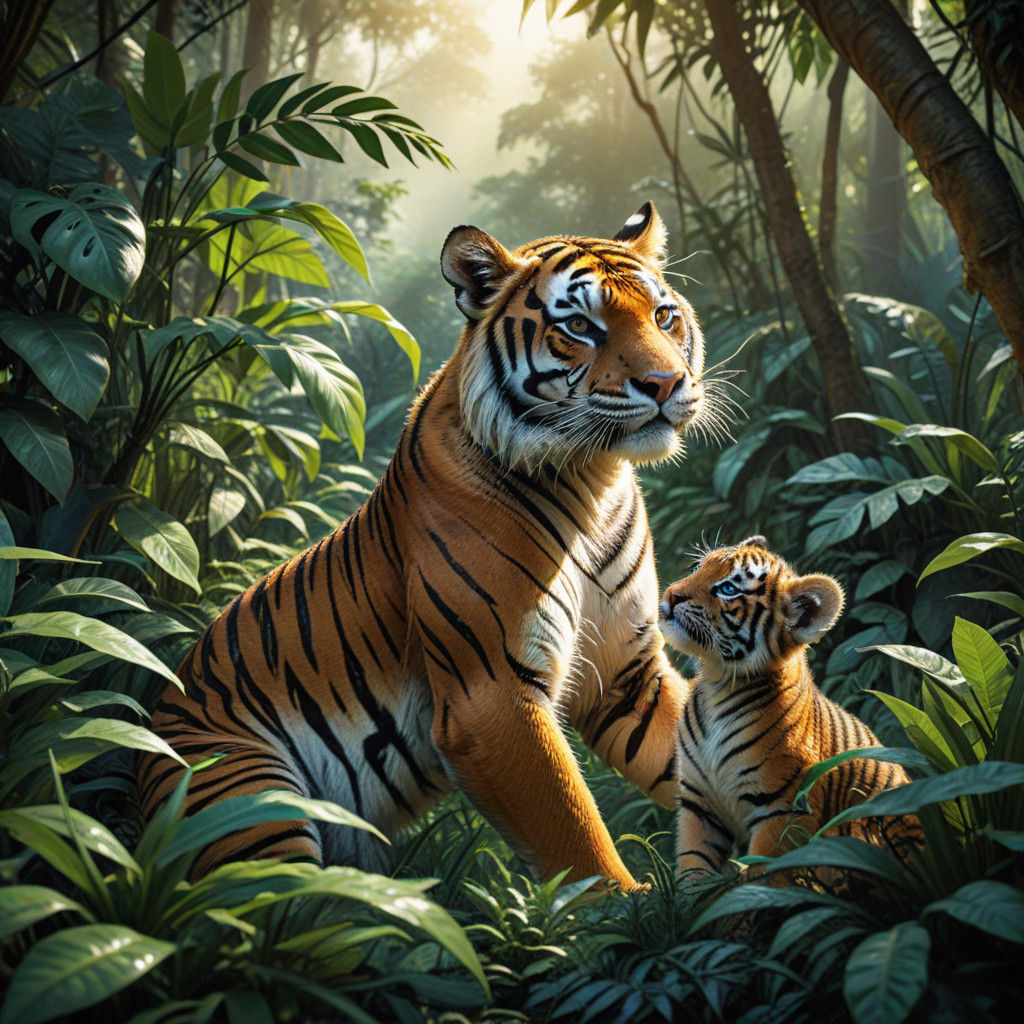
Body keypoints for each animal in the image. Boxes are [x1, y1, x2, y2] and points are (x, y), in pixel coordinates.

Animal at [138, 202, 710, 891]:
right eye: (579, 325)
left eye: (663, 316)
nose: (666, 382)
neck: (594, 480)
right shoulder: (490, 694)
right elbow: (572, 832)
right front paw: (625, 908)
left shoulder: (625, 670)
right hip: (251, 798)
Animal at [658, 536, 922, 878]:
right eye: (698, 568)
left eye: (728, 589)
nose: (670, 594)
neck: (718, 684)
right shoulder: (698, 804)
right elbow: (693, 870)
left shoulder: (785, 809)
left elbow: (765, 876)